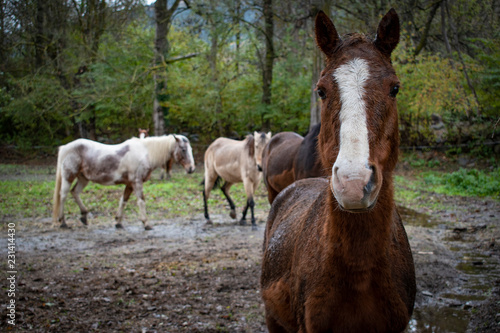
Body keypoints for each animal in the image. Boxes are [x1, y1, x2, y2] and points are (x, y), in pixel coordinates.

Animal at [52, 134, 195, 230]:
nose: (191, 169)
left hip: (83, 178)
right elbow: (141, 201)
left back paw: (84, 216)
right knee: (63, 196)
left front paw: (118, 222)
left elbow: (123, 200)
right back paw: (63, 222)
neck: (145, 153)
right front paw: (146, 223)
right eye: (183, 149)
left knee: (75, 192)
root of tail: (65, 147)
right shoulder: (137, 183)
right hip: (68, 176)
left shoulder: (129, 184)